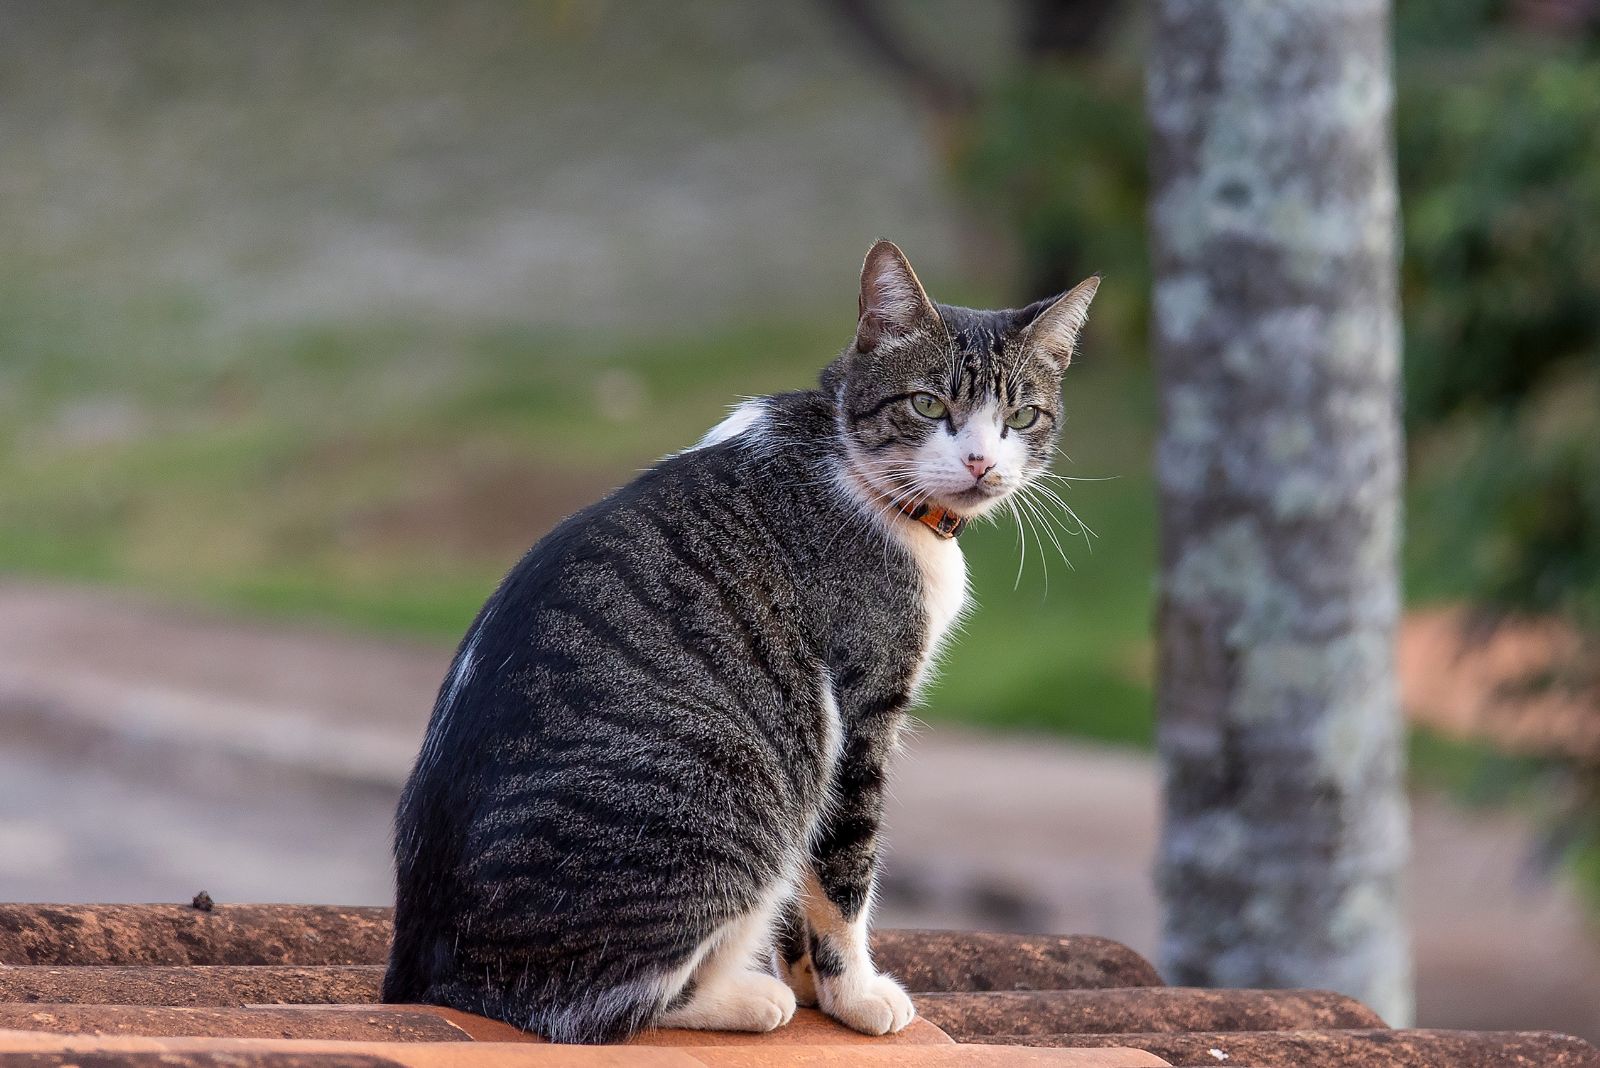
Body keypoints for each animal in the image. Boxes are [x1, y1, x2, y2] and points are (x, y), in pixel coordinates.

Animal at [384, 239, 1100, 1042]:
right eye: (927, 404)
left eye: (1022, 416)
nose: (982, 462)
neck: (849, 458)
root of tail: (421, 968)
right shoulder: (860, 708)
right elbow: (843, 870)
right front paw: (856, 994)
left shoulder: (817, 741)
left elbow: (804, 887)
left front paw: (813, 982)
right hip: (734, 788)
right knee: (592, 1004)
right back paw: (746, 998)